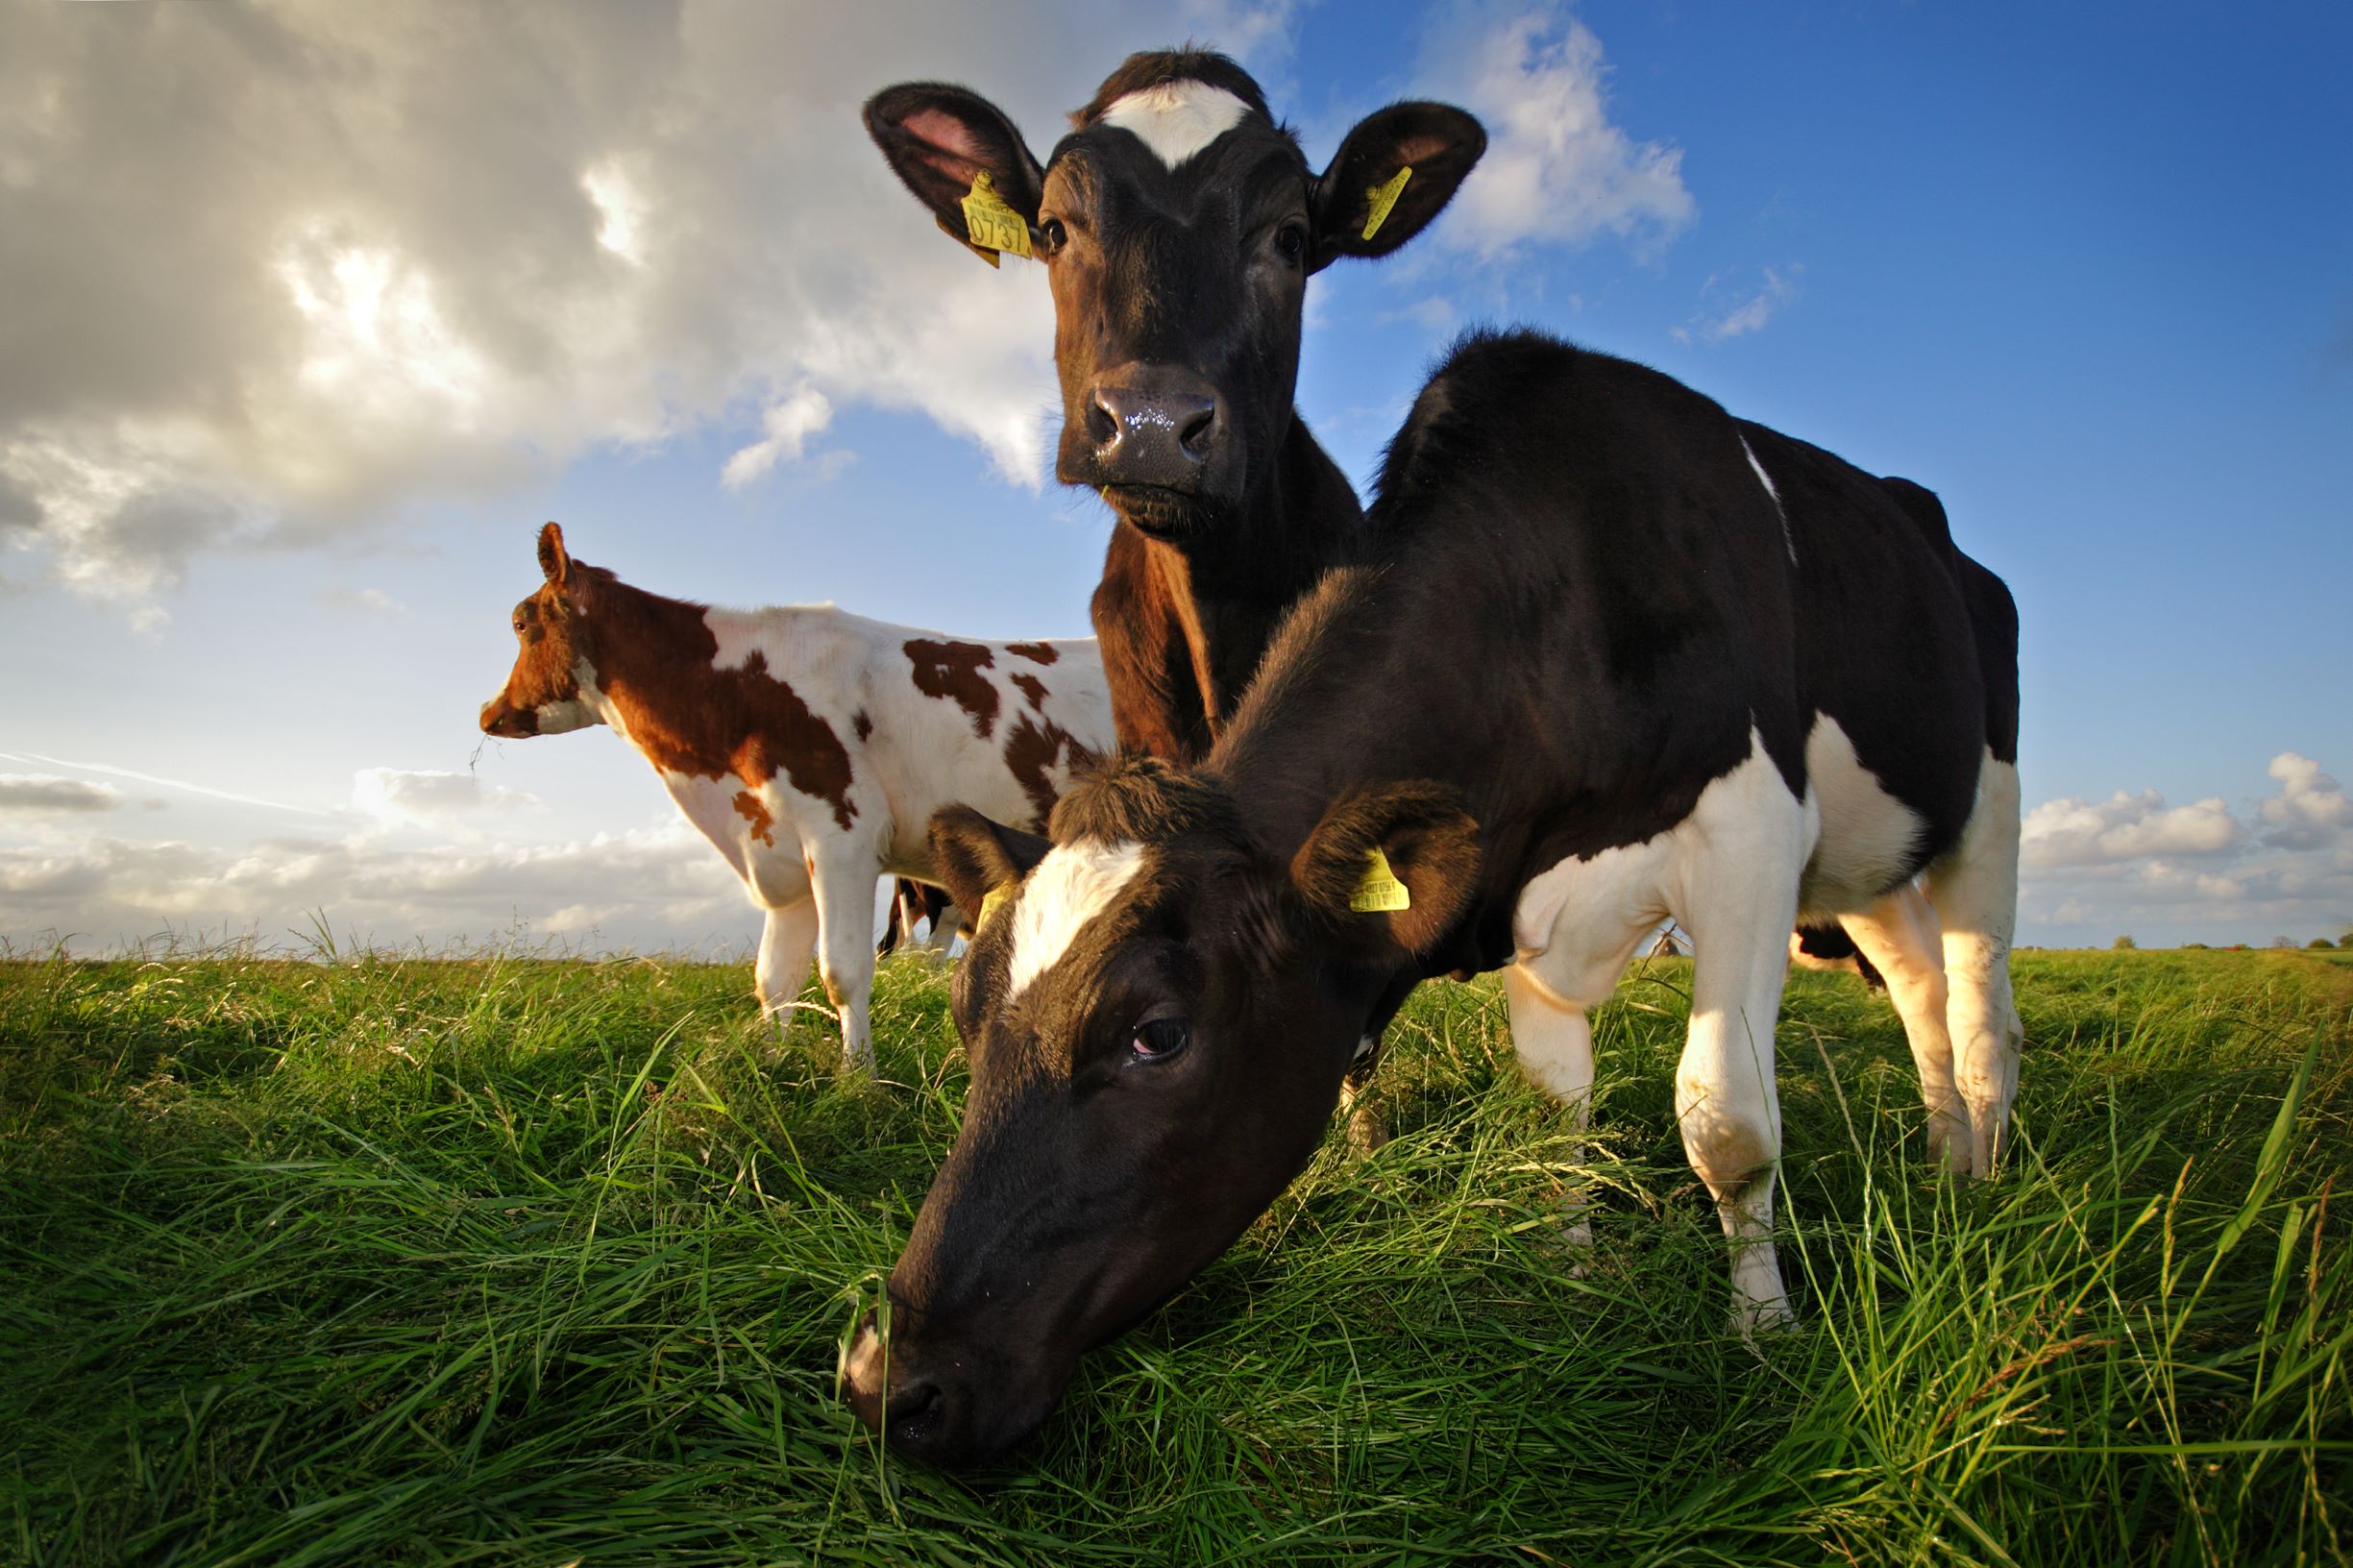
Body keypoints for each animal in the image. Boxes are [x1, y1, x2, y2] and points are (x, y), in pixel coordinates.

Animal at [482, 523, 1115, 1064]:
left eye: (519, 623)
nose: (491, 713)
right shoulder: (778, 851)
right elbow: (774, 980)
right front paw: (772, 1065)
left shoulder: (842, 838)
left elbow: (842, 971)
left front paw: (858, 1079)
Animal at [846, 330, 2023, 1469]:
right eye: (961, 1017)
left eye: (1156, 1034)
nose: (887, 1384)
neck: (1565, 584)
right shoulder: (1532, 908)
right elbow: (1554, 1113)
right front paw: (1570, 1281)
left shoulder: (1753, 833)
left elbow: (1726, 1122)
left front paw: (1763, 1339)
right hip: (1870, 864)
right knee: (1915, 985)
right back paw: (1938, 1158)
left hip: (1983, 804)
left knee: (1977, 1003)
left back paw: (1985, 1176)